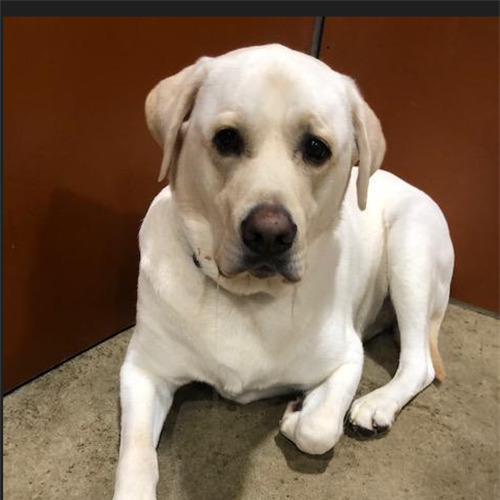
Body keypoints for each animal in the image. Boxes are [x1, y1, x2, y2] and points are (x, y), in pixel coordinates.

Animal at [112, 45, 454, 498]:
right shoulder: (143, 370)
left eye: (316, 148)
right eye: (226, 139)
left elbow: (318, 429)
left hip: (410, 250)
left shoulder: (348, 358)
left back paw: (376, 404)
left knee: (418, 363)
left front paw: (297, 413)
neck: (248, 297)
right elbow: (135, 458)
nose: (269, 235)